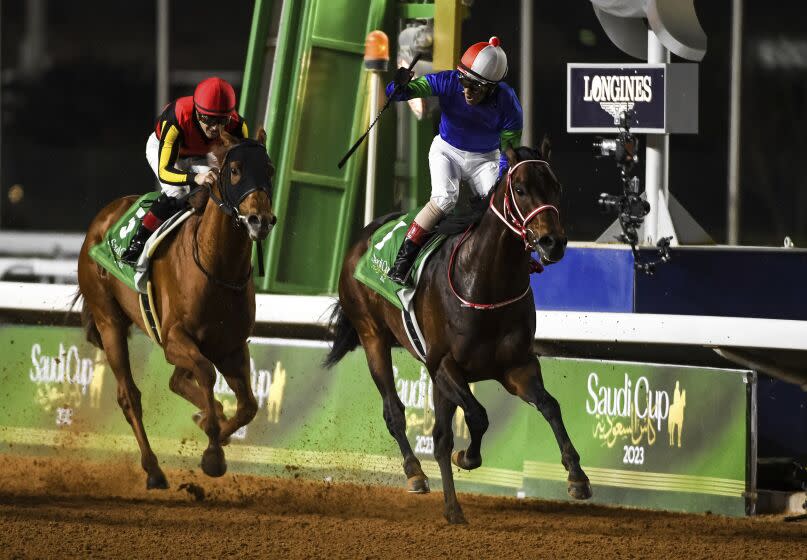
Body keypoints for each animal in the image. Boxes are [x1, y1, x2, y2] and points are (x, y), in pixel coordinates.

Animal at [76, 129, 278, 488]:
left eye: (268, 170)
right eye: (235, 170)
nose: (260, 220)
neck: (217, 267)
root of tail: (102, 218)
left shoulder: (231, 347)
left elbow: (248, 407)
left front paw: (216, 429)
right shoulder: (174, 340)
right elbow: (207, 374)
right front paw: (213, 454)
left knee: (176, 382)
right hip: (108, 320)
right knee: (130, 396)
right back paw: (154, 470)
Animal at [324, 144, 592, 524]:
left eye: (556, 186)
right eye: (520, 189)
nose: (553, 242)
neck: (484, 281)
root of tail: (363, 236)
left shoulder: (516, 367)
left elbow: (550, 406)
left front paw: (577, 477)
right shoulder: (444, 365)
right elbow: (478, 416)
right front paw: (467, 457)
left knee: (438, 436)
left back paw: (450, 505)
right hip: (372, 335)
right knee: (394, 411)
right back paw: (416, 474)